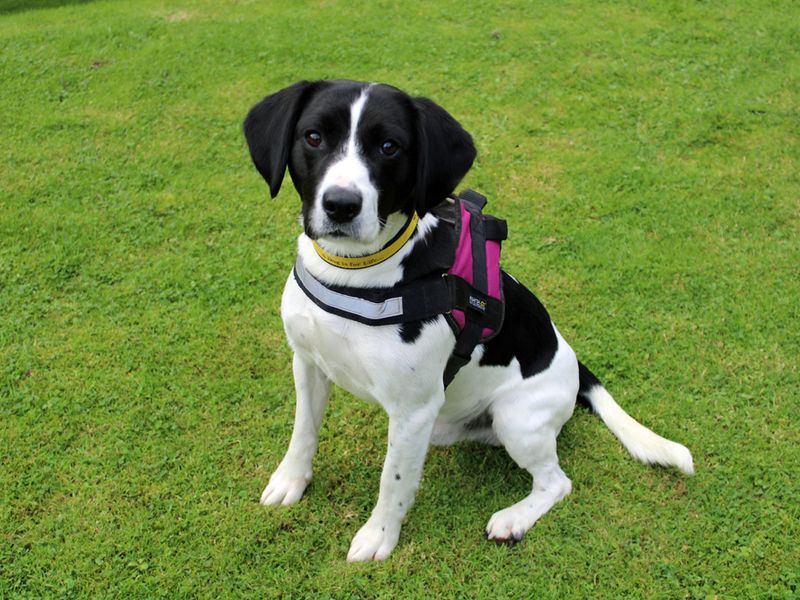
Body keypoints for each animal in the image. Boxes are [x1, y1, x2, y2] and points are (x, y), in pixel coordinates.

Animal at [244, 79, 692, 564]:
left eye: (389, 146)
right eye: (313, 137)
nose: (341, 205)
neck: (356, 273)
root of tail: (574, 365)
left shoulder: (413, 409)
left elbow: (392, 481)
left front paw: (380, 535)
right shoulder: (309, 364)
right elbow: (303, 432)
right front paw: (291, 481)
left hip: (516, 419)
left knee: (557, 482)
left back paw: (513, 519)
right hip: (449, 424)